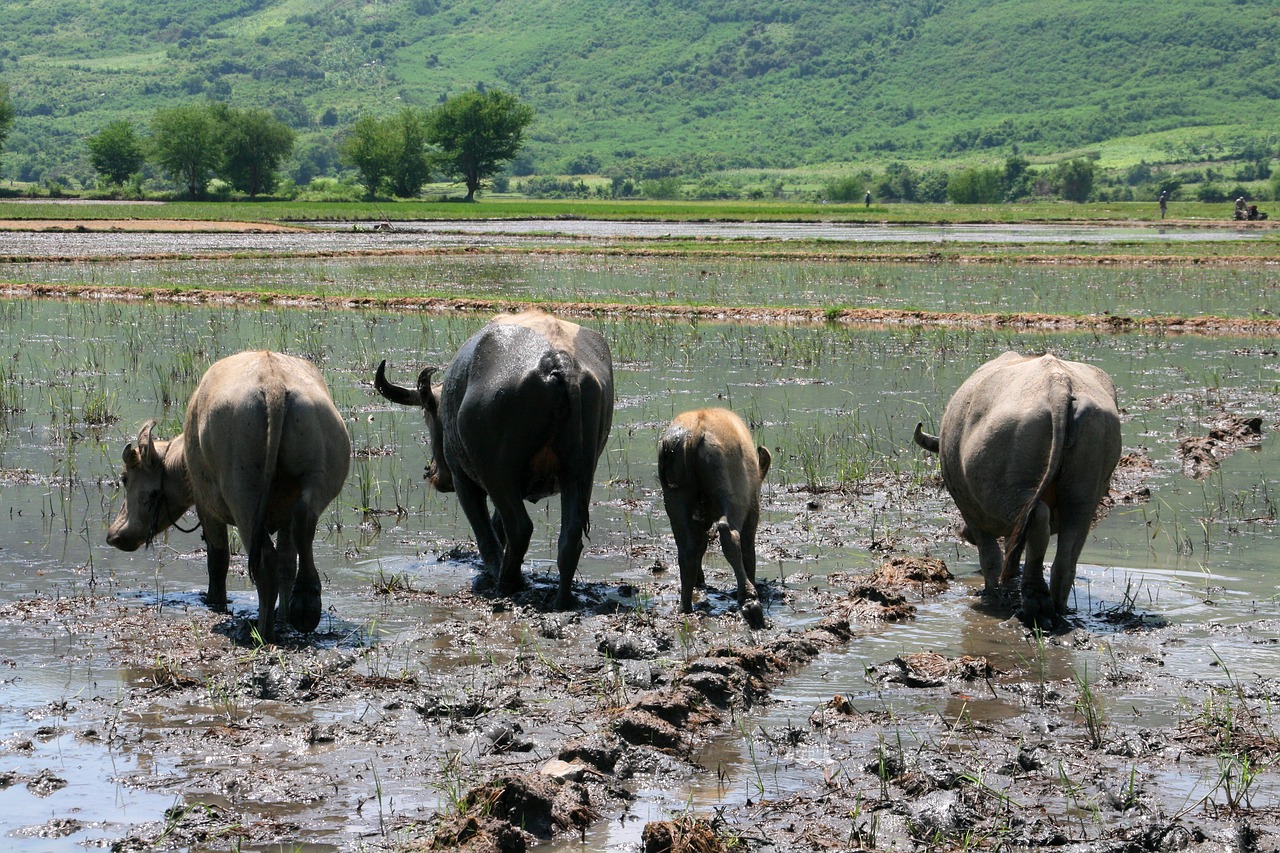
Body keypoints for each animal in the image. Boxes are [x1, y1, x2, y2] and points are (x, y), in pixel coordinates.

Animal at [106, 348, 350, 637]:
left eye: (125, 478)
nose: (114, 535)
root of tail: (274, 383)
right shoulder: (284, 514)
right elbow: (288, 562)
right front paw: (285, 615)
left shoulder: (206, 507)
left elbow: (218, 559)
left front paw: (215, 600)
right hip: (319, 476)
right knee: (303, 522)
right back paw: (305, 606)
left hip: (243, 496)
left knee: (264, 560)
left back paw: (263, 630)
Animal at [373, 308, 614, 607]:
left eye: (429, 417)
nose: (431, 472)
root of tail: (557, 360)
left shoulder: (464, 481)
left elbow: (487, 533)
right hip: (579, 473)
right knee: (569, 536)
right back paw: (562, 600)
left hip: (497, 473)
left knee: (519, 528)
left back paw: (506, 583)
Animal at [660, 404, 768, 625]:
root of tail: (694, 433)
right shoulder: (752, 509)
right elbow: (748, 551)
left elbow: (700, 543)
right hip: (732, 494)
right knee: (729, 534)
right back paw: (749, 600)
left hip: (675, 496)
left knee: (688, 551)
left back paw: (685, 606)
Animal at [911, 348, 1121, 622]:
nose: (963, 533)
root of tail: (1058, 385)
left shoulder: (971, 512)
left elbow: (990, 556)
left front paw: (992, 591)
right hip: (1085, 486)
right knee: (1069, 545)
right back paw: (1057, 607)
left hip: (1009, 488)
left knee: (1037, 521)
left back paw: (1034, 602)